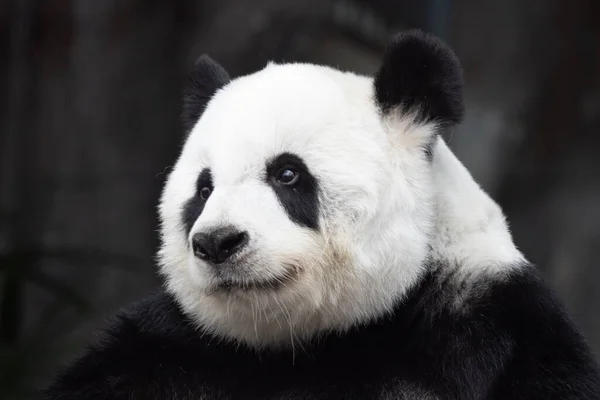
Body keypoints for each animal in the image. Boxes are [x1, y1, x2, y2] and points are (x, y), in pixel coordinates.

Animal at [43, 29, 600, 398]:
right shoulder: (170, 348)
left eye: (288, 174)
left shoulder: (492, 327)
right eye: (203, 189)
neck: (311, 341)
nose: (218, 242)